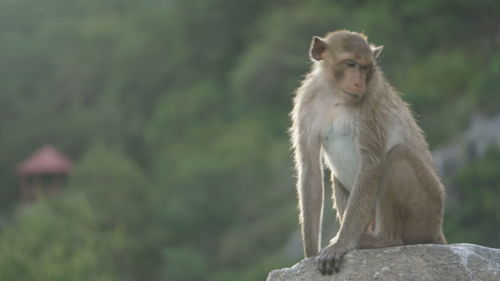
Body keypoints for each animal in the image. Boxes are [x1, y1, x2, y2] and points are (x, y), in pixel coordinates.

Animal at [292, 30, 448, 274]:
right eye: (350, 64)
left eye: (365, 68)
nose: (358, 82)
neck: (335, 95)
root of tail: (437, 230)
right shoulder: (306, 103)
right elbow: (310, 171)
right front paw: (310, 253)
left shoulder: (370, 101)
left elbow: (373, 163)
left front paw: (341, 244)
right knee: (337, 177)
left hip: (428, 210)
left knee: (397, 157)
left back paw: (382, 240)